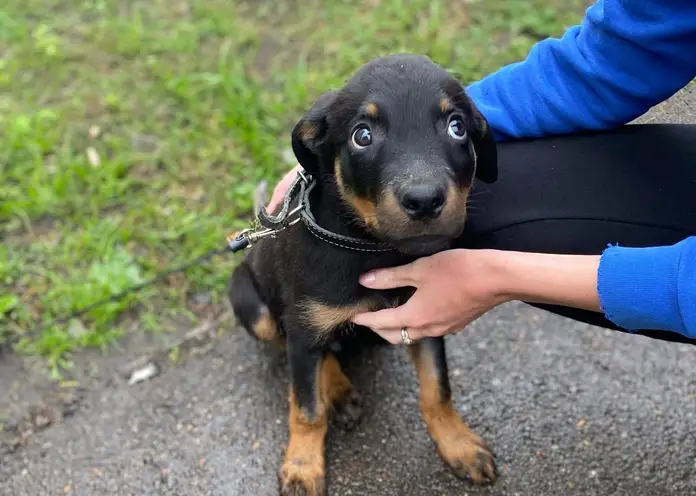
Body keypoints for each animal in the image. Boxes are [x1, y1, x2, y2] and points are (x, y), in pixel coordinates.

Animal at [231, 52, 498, 494]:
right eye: (363, 136)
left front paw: (458, 445)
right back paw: (337, 392)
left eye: (457, 127)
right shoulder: (303, 328)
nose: (424, 200)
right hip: (251, 303)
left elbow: (436, 390)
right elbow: (306, 409)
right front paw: (302, 468)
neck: (372, 248)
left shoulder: (424, 313)